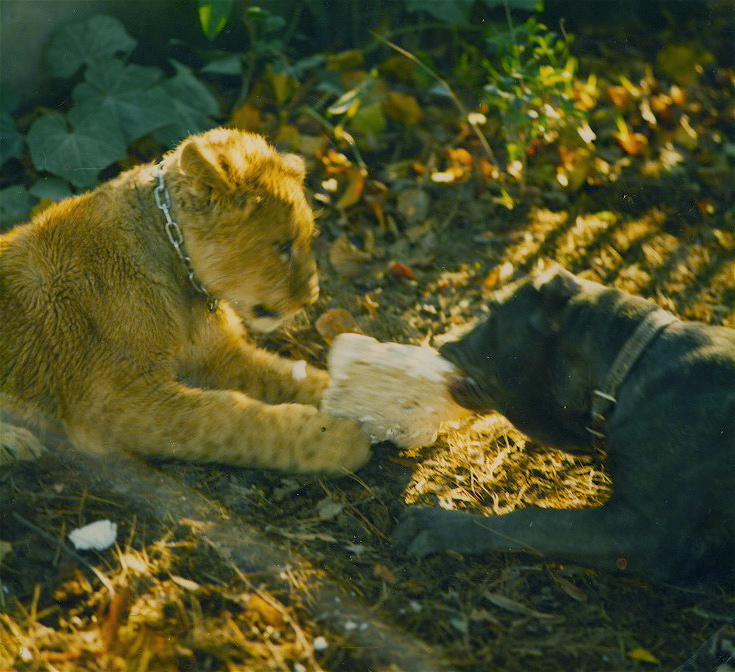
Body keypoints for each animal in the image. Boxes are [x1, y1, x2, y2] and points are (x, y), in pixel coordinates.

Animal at [0, 128, 371, 473]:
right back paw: (15, 443)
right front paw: (339, 439)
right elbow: (229, 418)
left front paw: (366, 400)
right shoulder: (112, 400)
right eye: (283, 246)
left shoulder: (219, 356)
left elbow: (293, 376)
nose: (312, 297)